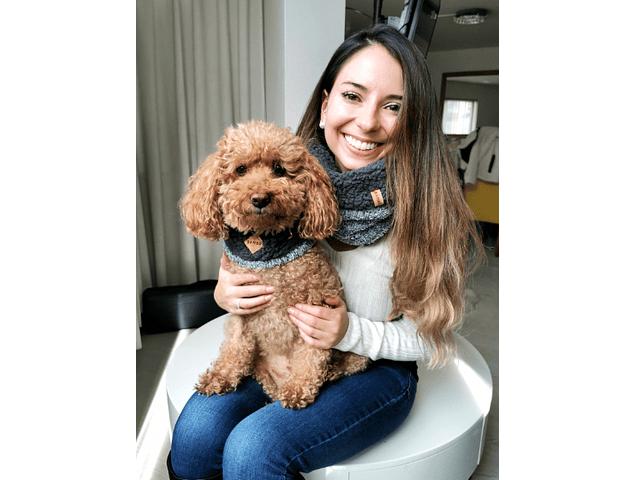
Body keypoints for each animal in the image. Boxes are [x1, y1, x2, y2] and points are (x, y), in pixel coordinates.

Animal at [179, 121, 369, 409]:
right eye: (241, 169)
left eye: (279, 169)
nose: (260, 198)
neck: (266, 245)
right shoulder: (241, 310)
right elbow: (234, 345)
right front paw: (220, 376)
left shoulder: (315, 305)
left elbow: (312, 353)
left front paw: (300, 387)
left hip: (355, 352)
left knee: (350, 362)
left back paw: (330, 373)